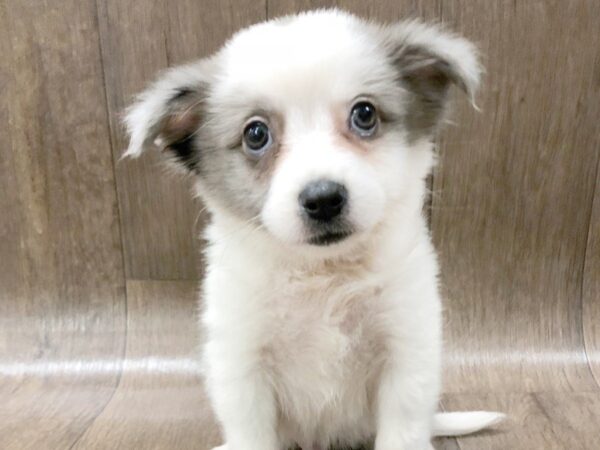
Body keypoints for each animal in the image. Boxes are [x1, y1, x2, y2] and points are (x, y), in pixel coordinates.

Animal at [124, 7, 504, 450]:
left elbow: (404, 430)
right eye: (255, 133)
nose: (323, 199)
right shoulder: (242, 368)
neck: (322, 277)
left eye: (365, 114)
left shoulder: (407, 354)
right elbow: (250, 434)